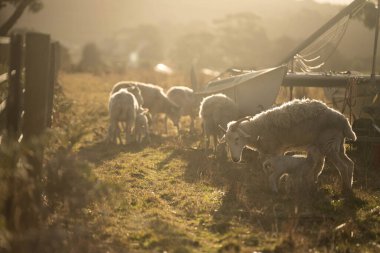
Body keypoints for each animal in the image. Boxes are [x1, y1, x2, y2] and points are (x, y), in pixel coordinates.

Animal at [221, 98, 358, 193]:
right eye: (227, 141)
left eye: (237, 138)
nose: (235, 159)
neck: (258, 130)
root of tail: (344, 121)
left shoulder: (274, 150)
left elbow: (271, 170)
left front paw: (274, 186)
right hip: (338, 145)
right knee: (350, 164)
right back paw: (350, 187)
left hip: (329, 144)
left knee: (343, 167)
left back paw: (344, 189)